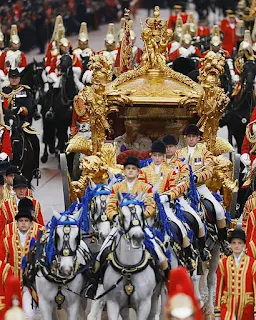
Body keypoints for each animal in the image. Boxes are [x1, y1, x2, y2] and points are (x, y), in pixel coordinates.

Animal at [103, 192, 159, 320]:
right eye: (122, 215)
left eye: (142, 213)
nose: (138, 237)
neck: (129, 269)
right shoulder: (112, 303)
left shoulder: (145, 305)